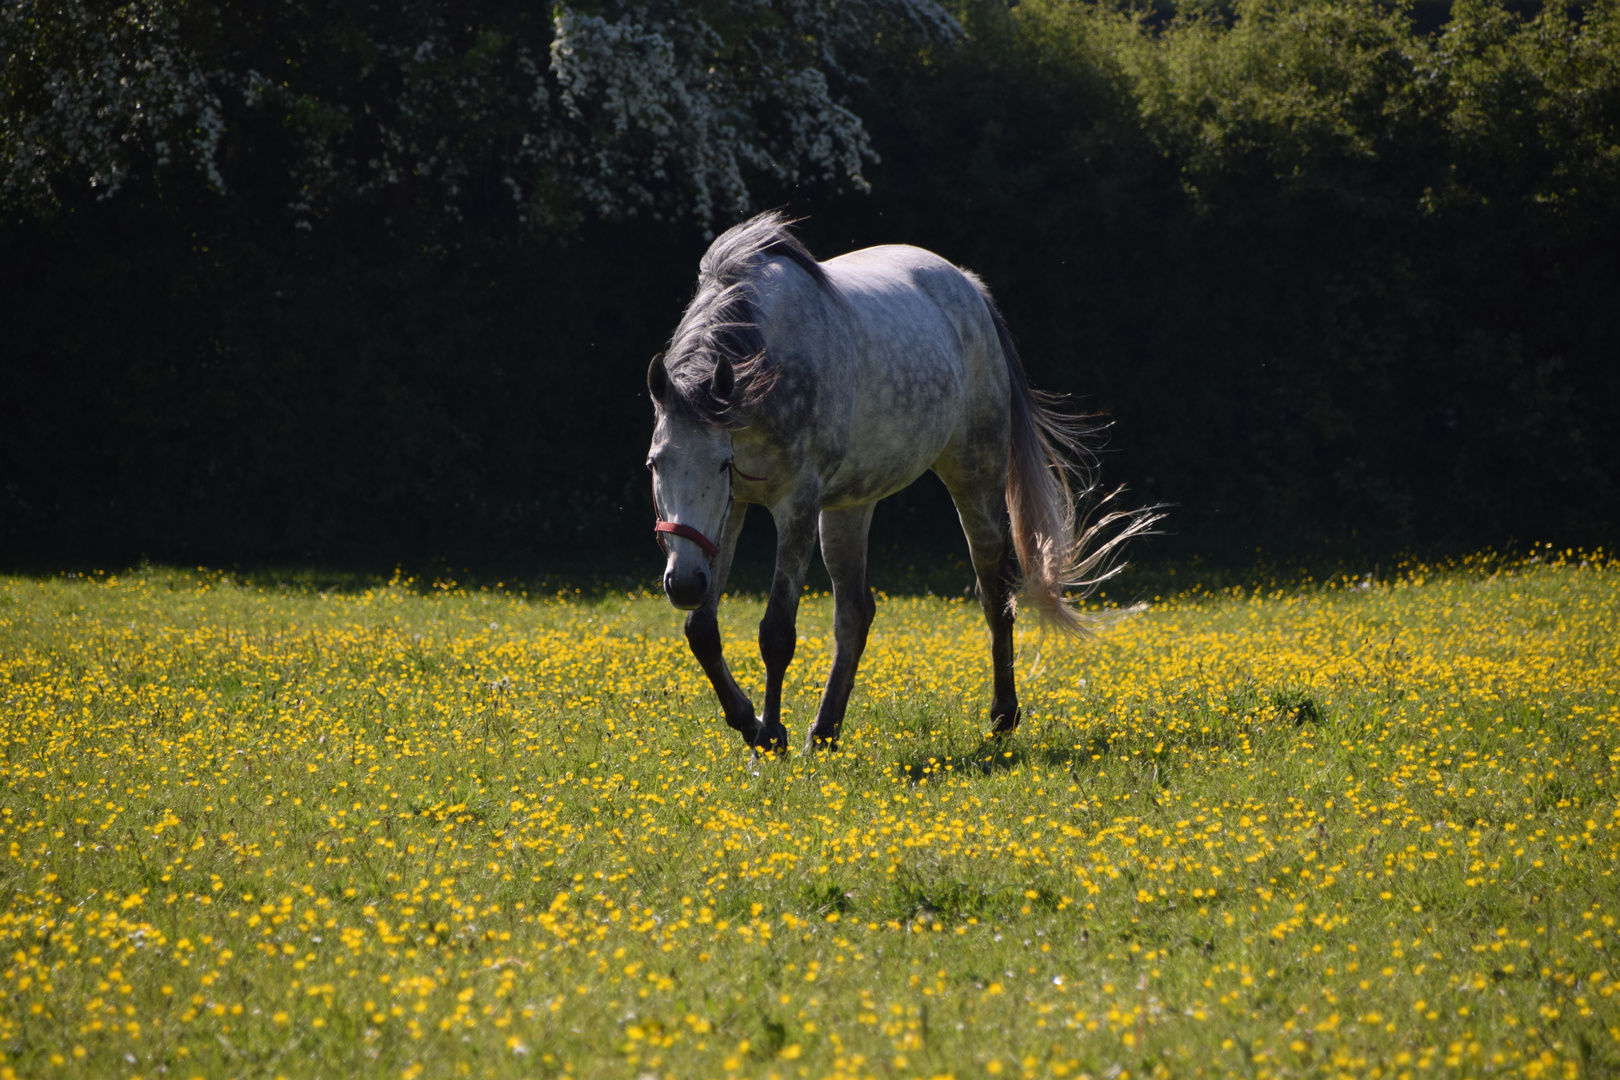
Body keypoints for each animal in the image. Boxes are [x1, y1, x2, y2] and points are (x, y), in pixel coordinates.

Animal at [638, 210, 1159, 751]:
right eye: (655, 464)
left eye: (722, 463)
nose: (683, 582)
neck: (767, 366)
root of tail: (970, 289)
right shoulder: (733, 510)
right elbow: (702, 630)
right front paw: (748, 721)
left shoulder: (796, 505)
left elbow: (776, 632)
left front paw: (771, 734)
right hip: (848, 509)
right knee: (854, 614)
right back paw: (824, 732)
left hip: (975, 480)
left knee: (995, 593)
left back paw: (1002, 716)